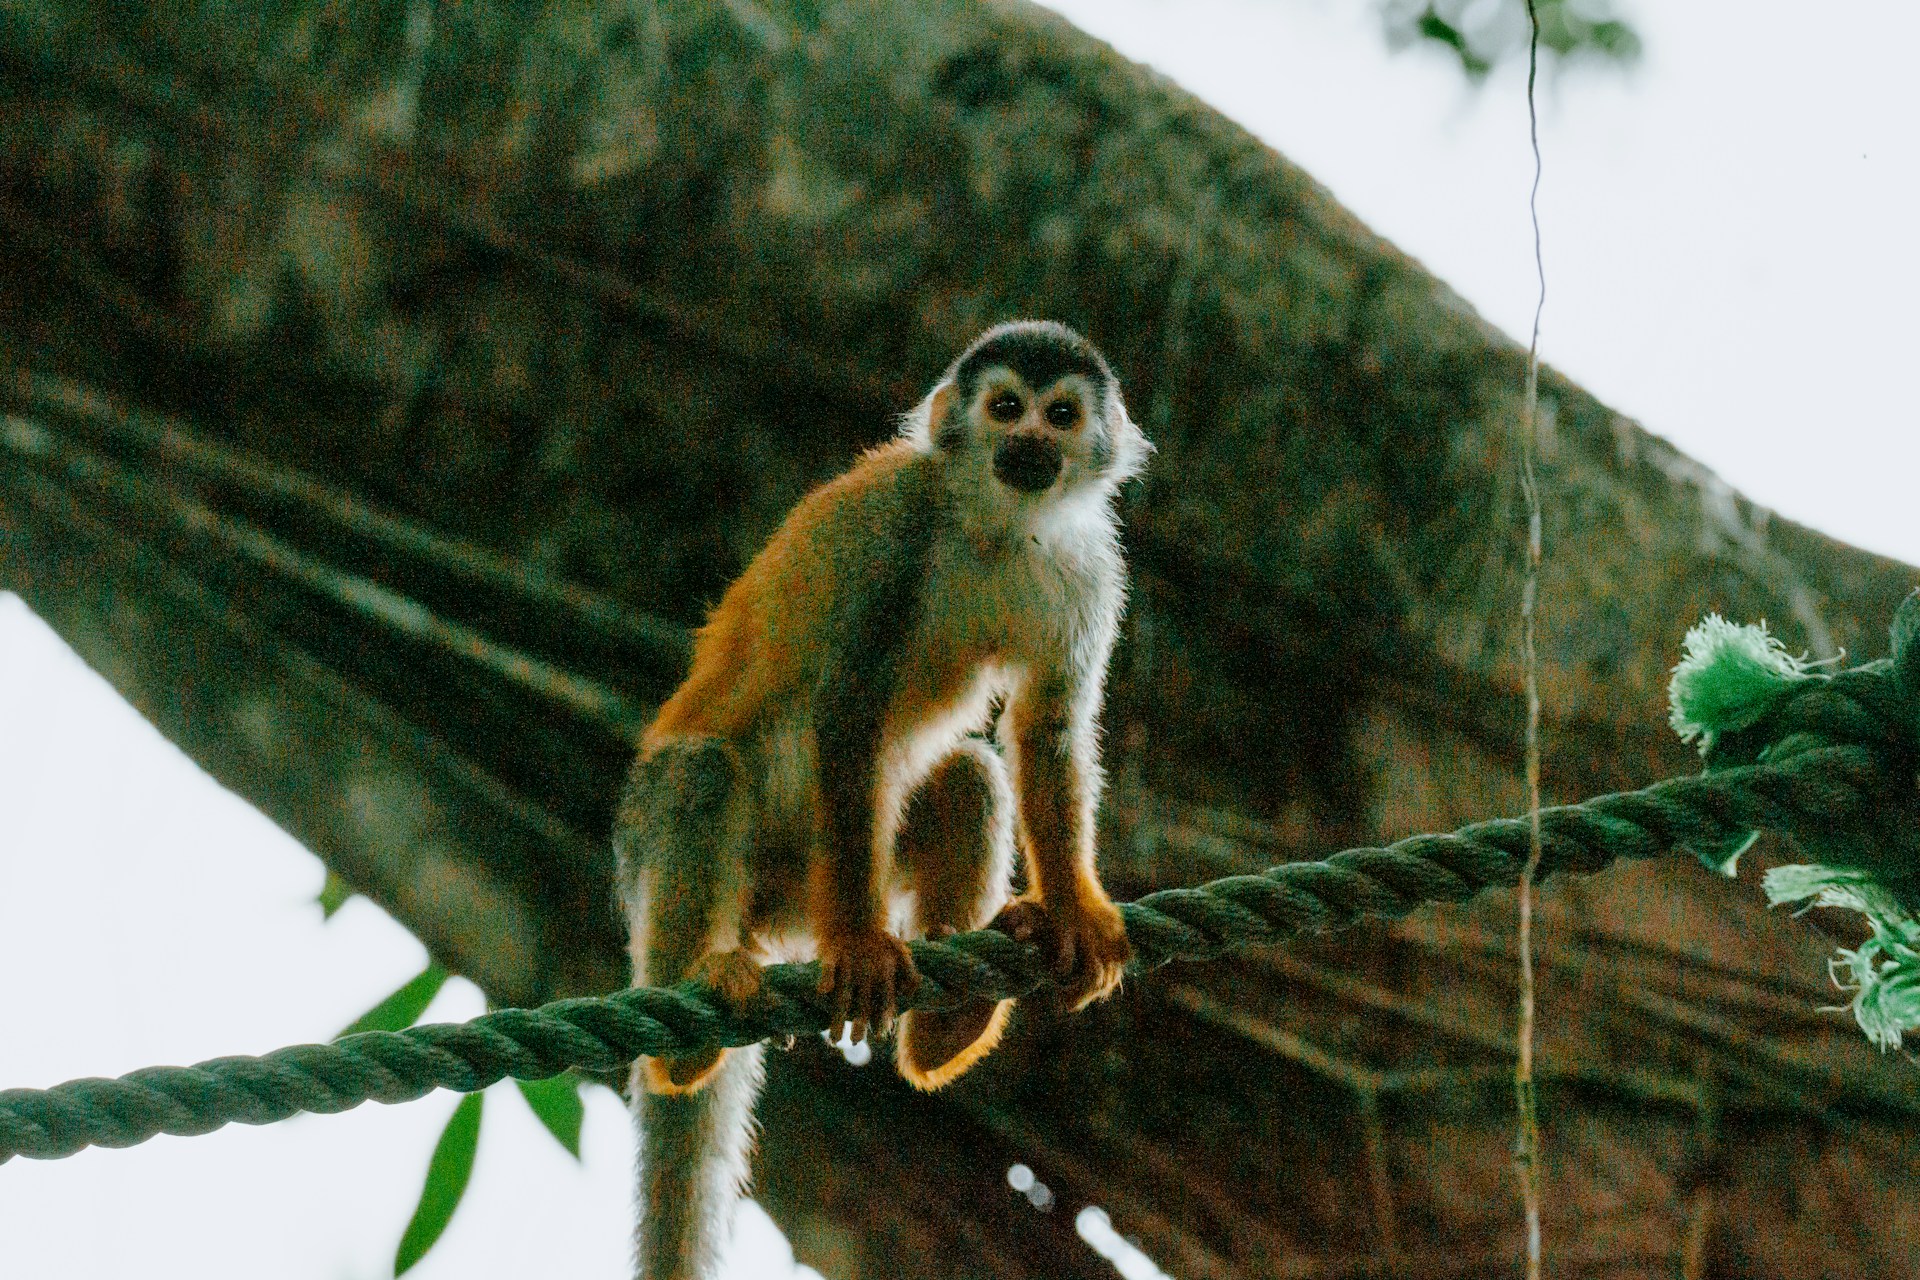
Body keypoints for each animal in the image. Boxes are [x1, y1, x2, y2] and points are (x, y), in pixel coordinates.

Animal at [613, 320, 1150, 1280]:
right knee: (703, 773)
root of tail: (772, 925)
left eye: (1060, 415)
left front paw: (1074, 908)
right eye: (1005, 406)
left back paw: (948, 1027)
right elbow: (848, 713)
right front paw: (864, 943)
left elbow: (1049, 729)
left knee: (971, 777)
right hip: (670, 850)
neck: (997, 526)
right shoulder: (892, 531)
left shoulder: (1089, 569)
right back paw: (690, 1028)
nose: (1029, 445)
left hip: (804, 889)